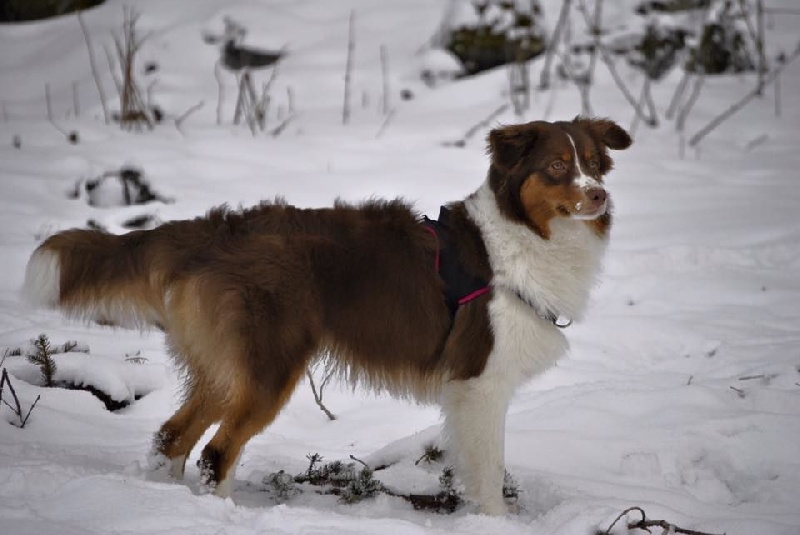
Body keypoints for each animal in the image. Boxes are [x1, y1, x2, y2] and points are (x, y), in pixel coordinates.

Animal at [22, 117, 631, 515]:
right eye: (557, 166)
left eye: (595, 165)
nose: (600, 197)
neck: (523, 236)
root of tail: (217, 230)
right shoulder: (480, 384)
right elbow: (487, 476)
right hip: (269, 368)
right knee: (219, 451)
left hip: (227, 367)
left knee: (174, 437)